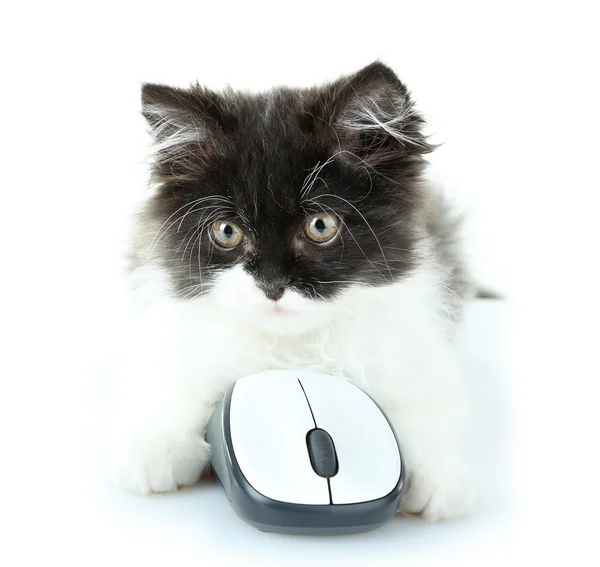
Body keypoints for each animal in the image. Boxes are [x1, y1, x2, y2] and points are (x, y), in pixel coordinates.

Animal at [112, 63, 476, 524]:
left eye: (320, 225)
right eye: (227, 231)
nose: (271, 286)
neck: (294, 357)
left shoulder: (419, 348)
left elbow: (427, 407)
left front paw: (437, 476)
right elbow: (176, 386)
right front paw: (156, 448)